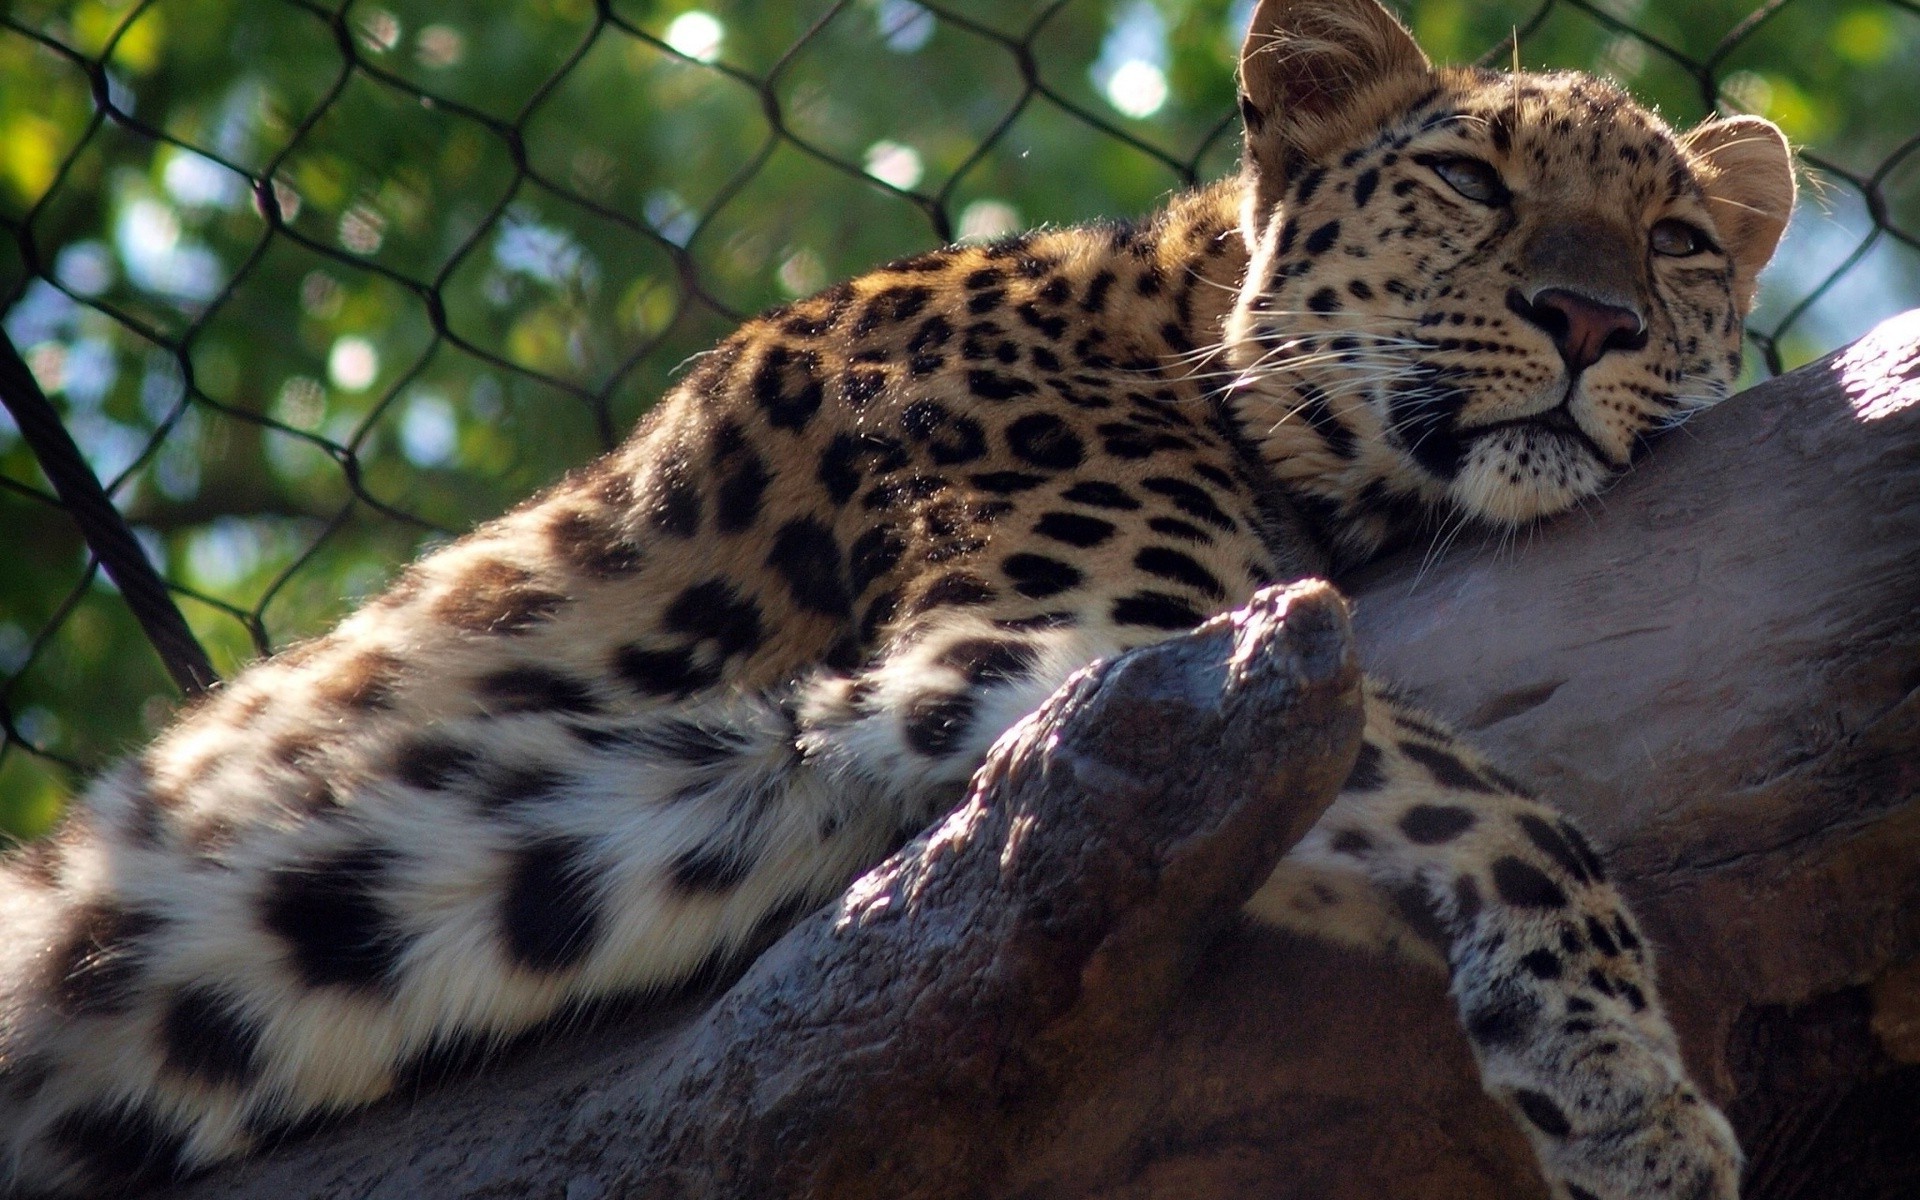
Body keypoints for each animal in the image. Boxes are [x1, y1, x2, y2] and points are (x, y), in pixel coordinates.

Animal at [0, 0, 1795, 1196]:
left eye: (1679, 236)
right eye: (1475, 182)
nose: (1591, 321)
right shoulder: (1097, 654)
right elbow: (1494, 800)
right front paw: (1628, 1087)